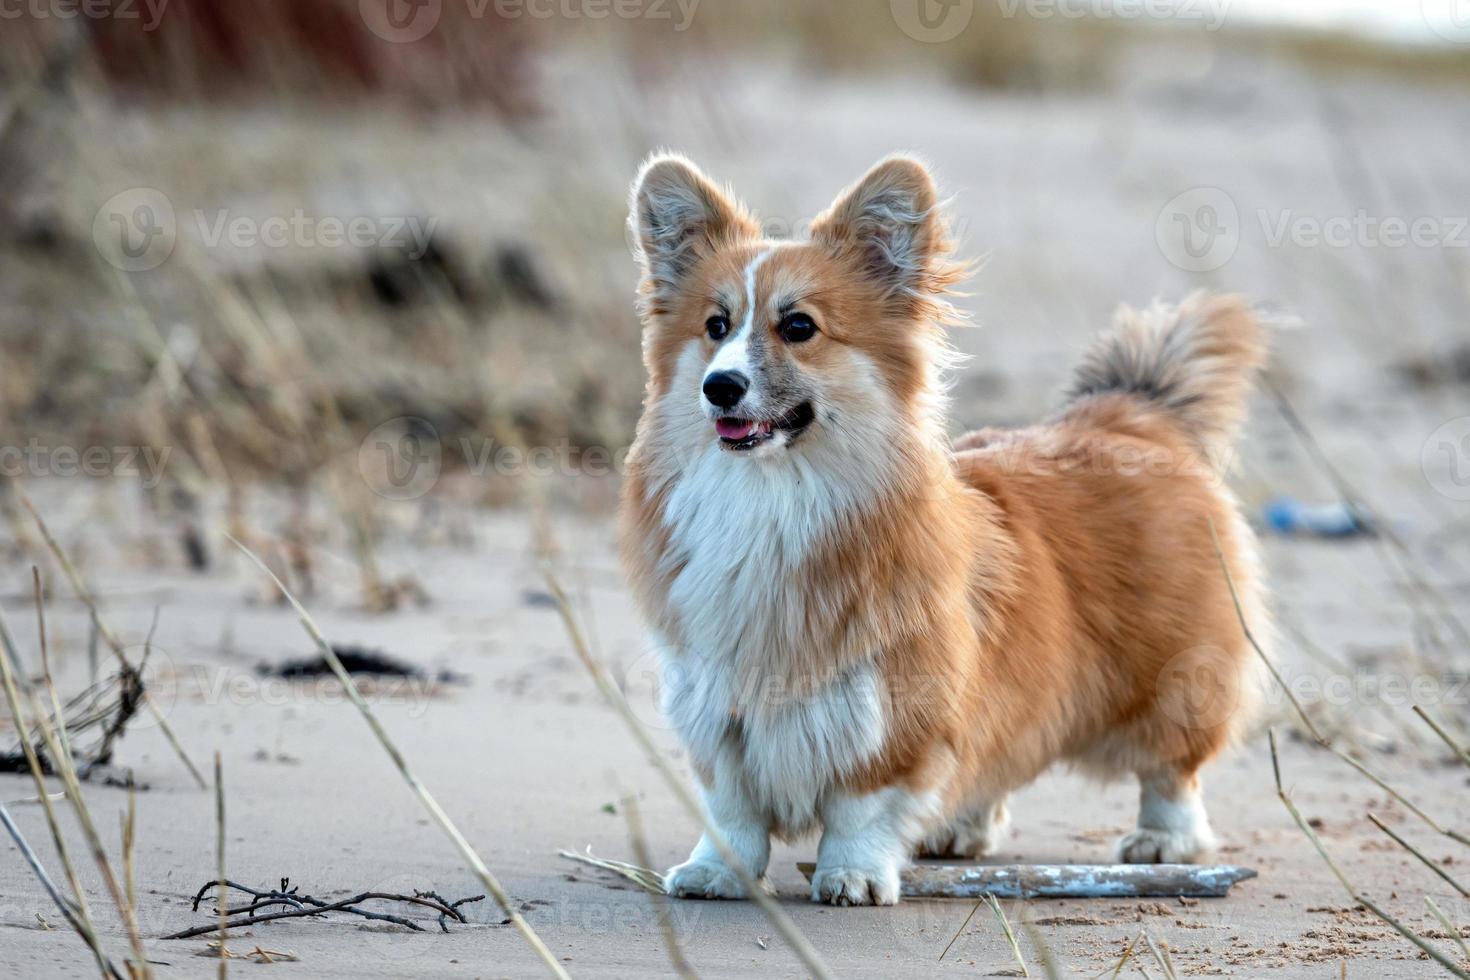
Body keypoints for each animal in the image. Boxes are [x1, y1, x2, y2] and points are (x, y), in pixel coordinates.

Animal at [614, 151, 1270, 905]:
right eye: (716, 326)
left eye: (799, 327)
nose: (719, 387)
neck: (772, 497)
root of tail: (1130, 412)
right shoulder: (715, 704)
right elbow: (731, 807)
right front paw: (717, 872)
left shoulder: (895, 706)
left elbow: (861, 807)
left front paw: (852, 876)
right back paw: (958, 830)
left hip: (1171, 679)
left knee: (1172, 770)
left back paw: (1164, 842)